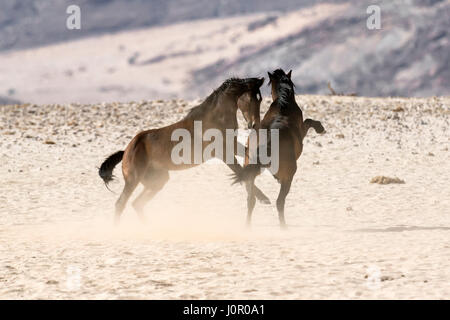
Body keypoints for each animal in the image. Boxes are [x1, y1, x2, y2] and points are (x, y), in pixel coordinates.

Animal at [100, 76, 268, 224]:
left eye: (260, 99)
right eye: (251, 98)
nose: (254, 125)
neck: (214, 119)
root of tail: (126, 151)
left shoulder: (232, 145)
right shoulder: (222, 152)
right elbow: (240, 172)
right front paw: (263, 197)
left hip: (157, 181)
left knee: (137, 203)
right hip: (133, 179)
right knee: (121, 204)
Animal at [234, 69, 326, 228]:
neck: (284, 105)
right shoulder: (302, 131)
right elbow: (308, 121)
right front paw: (320, 128)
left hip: (250, 173)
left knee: (251, 200)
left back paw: (248, 226)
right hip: (288, 176)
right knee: (279, 202)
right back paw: (283, 227)